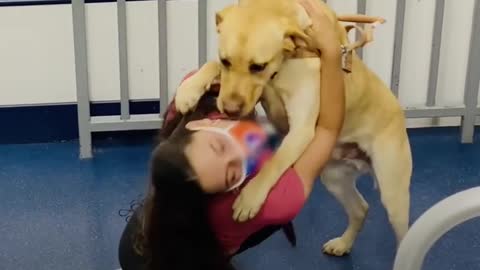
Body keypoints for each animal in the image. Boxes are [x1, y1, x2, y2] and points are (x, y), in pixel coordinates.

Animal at [174, 0, 410, 256]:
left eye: (258, 66)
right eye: (226, 60)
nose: (230, 110)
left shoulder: (301, 128)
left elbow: (275, 163)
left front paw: (251, 197)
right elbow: (211, 64)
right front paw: (189, 89)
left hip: (393, 195)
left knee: (404, 235)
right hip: (334, 178)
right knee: (361, 208)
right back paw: (343, 244)